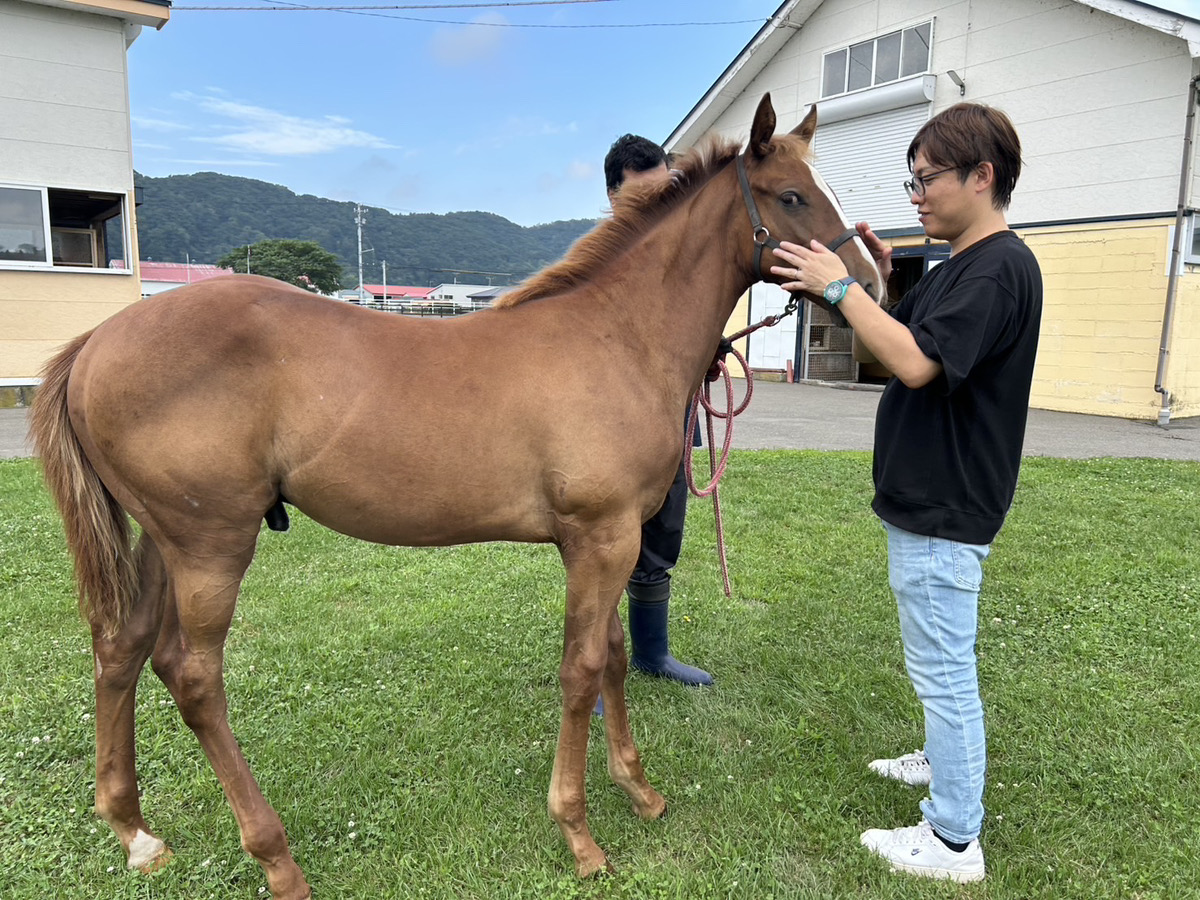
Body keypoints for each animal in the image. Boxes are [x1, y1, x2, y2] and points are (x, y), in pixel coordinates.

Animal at [30, 93, 882, 897]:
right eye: (792, 196)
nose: (871, 282)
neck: (616, 337)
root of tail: (95, 343)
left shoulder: (604, 542)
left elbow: (608, 656)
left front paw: (638, 791)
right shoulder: (601, 536)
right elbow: (580, 669)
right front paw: (579, 834)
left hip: (160, 541)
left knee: (121, 646)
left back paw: (135, 832)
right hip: (211, 545)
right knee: (193, 677)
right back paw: (276, 860)